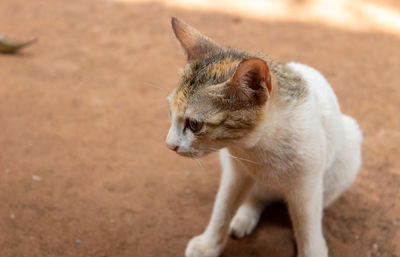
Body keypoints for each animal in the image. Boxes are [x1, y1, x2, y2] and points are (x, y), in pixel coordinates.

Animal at [166, 16, 362, 256]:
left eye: (194, 125)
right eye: (171, 113)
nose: (169, 145)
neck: (258, 147)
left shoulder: (307, 185)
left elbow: (307, 226)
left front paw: (312, 250)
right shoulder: (235, 172)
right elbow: (223, 206)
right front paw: (209, 244)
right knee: (257, 196)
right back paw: (244, 216)